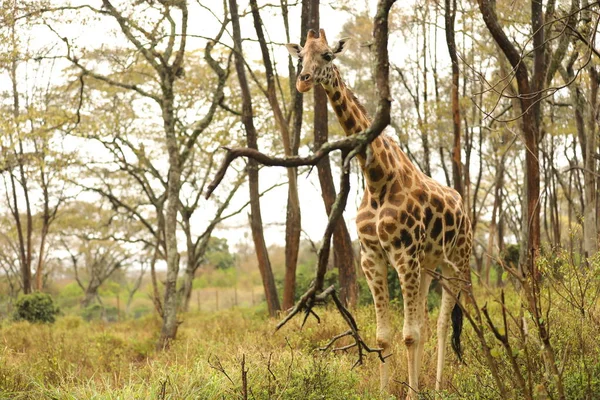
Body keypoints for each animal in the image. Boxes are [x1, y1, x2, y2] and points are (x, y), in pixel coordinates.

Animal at [288, 28, 474, 396]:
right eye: (300, 56)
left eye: (327, 55)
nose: (302, 81)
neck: (377, 180)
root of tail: (463, 207)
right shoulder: (372, 258)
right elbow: (385, 336)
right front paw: (385, 391)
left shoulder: (403, 255)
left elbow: (409, 335)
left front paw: (413, 394)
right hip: (428, 265)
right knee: (426, 322)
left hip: (456, 263)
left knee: (443, 323)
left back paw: (436, 387)